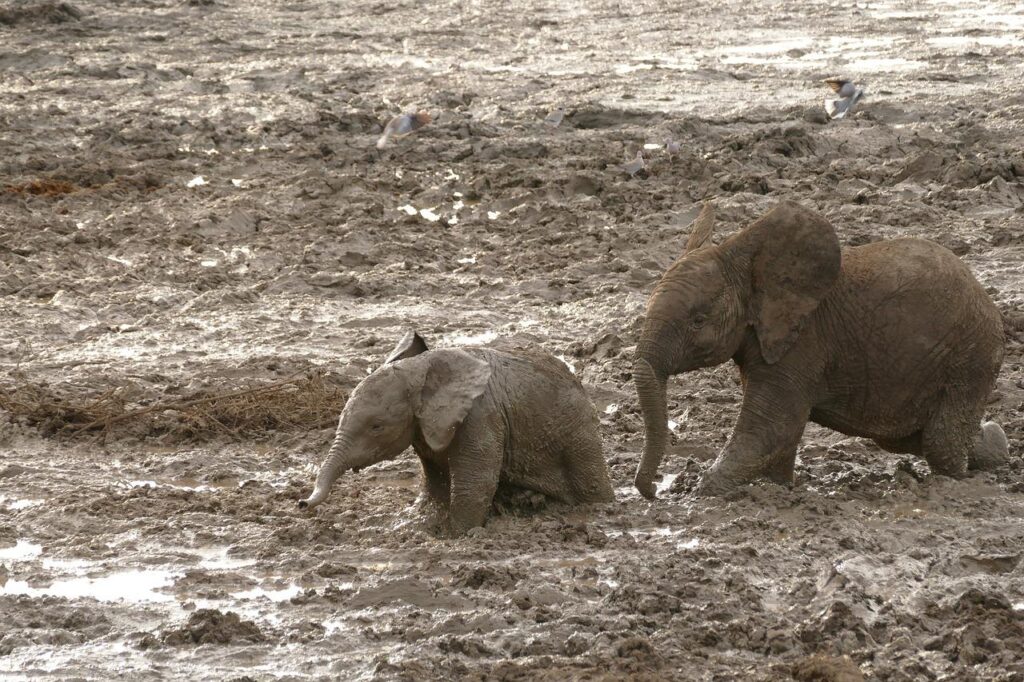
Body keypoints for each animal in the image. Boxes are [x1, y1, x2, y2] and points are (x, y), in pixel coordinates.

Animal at [300, 331, 615, 535]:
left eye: (376, 426)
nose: (302, 503)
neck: (420, 369)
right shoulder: (425, 427)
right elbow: (436, 481)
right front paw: (423, 524)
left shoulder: (480, 416)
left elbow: (475, 483)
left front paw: (457, 536)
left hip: (579, 435)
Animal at [633, 200, 1008, 498]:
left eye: (697, 320)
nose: (652, 491)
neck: (753, 270)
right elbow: (779, 433)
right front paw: (777, 487)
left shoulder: (803, 343)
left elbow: (771, 426)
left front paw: (701, 493)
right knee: (915, 438)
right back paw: (994, 442)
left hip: (969, 356)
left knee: (940, 443)